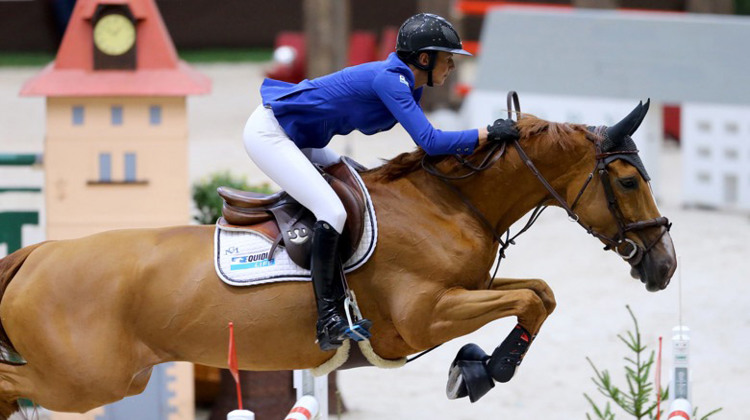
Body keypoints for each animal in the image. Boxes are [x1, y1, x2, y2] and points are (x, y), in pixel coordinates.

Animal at [0, 101, 676, 416]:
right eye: (625, 180)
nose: (664, 265)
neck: (449, 202)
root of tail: (34, 256)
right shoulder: (424, 316)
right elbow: (529, 298)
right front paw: (482, 371)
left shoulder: (470, 287)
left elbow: (540, 292)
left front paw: (476, 367)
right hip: (85, 380)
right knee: (15, 384)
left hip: (111, 376)